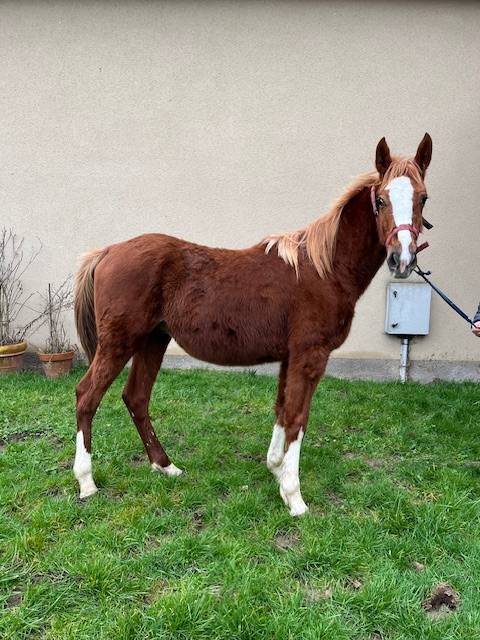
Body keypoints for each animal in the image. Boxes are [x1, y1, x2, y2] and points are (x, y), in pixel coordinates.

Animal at [73, 134, 432, 516]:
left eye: (423, 197)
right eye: (380, 200)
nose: (402, 259)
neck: (323, 269)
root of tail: (107, 251)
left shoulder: (290, 357)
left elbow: (282, 411)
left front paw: (275, 469)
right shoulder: (310, 356)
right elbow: (297, 418)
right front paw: (294, 497)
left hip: (153, 340)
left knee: (136, 398)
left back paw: (166, 466)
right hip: (119, 342)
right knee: (87, 396)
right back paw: (86, 482)